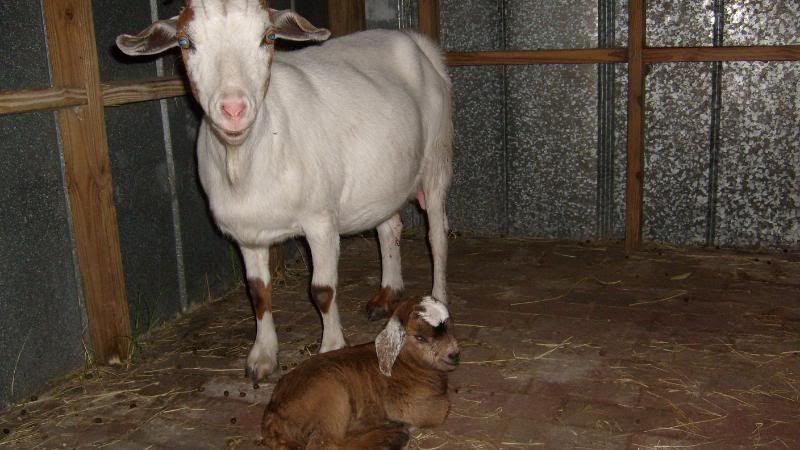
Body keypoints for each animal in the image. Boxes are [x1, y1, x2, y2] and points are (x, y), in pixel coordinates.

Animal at [116, 0, 453, 381]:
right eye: (186, 43)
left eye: (269, 38)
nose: (234, 109)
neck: (246, 158)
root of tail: (417, 43)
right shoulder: (246, 233)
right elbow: (258, 292)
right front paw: (262, 356)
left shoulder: (320, 220)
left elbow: (322, 291)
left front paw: (330, 347)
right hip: (384, 177)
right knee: (389, 227)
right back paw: (386, 296)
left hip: (437, 158)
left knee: (437, 236)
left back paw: (438, 299)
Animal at [262, 296, 459, 449]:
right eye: (420, 337)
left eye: (449, 328)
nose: (454, 355)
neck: (404, 364)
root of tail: (273, 416)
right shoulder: (410, 406)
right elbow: (442, 408)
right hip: (333, 398)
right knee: (324, 444)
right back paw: (391, 437)